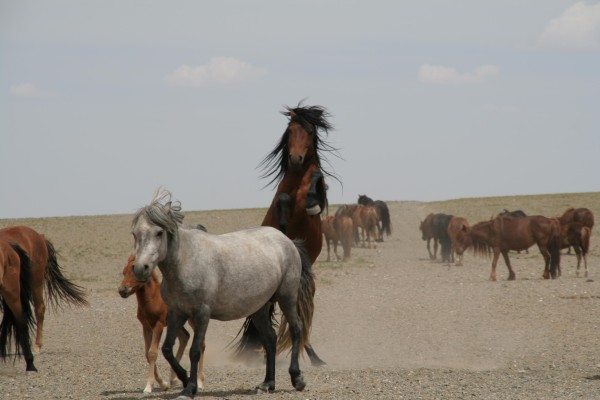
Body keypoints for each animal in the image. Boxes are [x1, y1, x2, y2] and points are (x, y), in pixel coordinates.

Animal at [118, 255, 205, 392]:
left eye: (136, 272)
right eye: (123, 272)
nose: (122, 290)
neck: (153, 299)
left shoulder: (158, 325)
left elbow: (152, 353)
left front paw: (149, 386)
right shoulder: (146, 326)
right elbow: (147, 354)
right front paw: (163, 384)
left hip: (192, 320)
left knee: (201, 344)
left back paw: (200, 382)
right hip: (176, 323)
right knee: (185, 337)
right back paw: (173, 379)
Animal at [131, 189, 314, 398]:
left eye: (159, 232)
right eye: (135, 234)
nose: (140, 269)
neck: (186, 261)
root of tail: (287, 240)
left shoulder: (202, 314)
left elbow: (195, 351)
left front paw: (190, 388)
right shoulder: (177, 313)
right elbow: (167, 349)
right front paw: (184, 379)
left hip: (287, 298)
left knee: (296, 329)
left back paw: (297, 379)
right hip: (259, 308)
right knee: (270, 339)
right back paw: (267, 383)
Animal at [233, 104, 338, 366]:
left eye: (309, 131)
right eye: (290, 131)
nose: (296, 159)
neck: (298, 179)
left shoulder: (316, 192)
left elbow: (317, 181)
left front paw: (311, 201)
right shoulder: (279, 199)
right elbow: (282, 199)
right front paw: (282, 225)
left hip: (300, 290)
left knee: (301, 321)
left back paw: (315, 358)